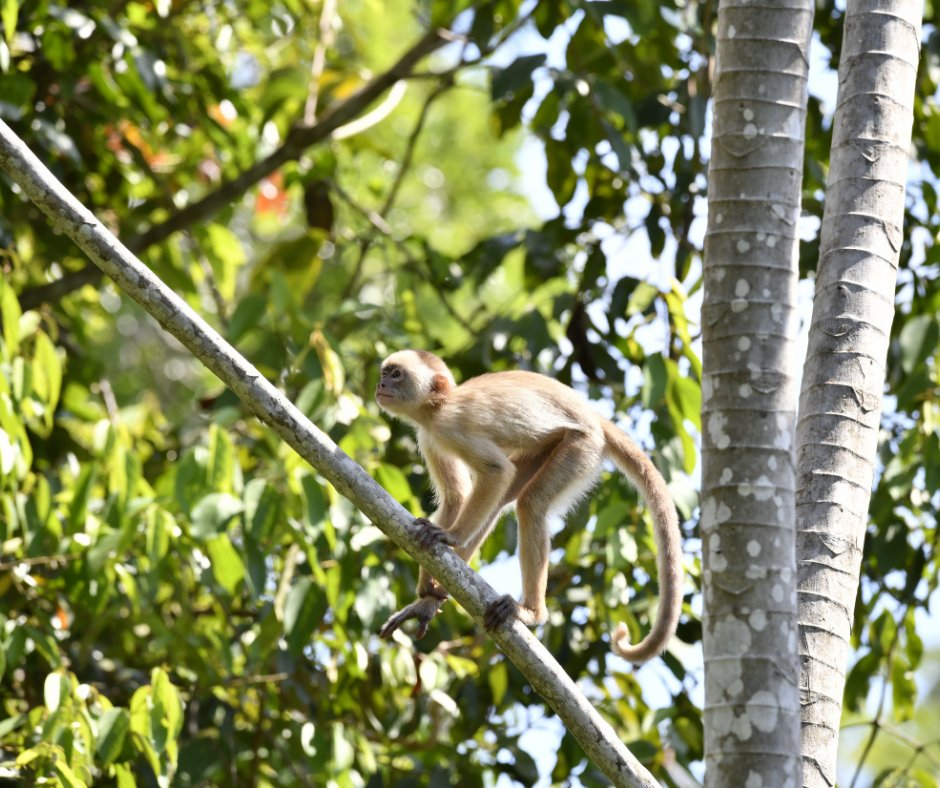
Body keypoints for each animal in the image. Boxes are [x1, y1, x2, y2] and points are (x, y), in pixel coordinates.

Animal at [374, 350, 682, 663]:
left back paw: (531, 612)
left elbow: (497, 472)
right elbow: (456, 498)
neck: (439, 405)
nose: (381, 384)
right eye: (384, 373)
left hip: (583, 445)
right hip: (546, 448)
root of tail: (593, 417)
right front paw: (428, 593)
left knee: (530, 502)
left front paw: (450, 537)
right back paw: (435, 599)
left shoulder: (449, 424)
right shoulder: (429, 434)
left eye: (396, 375)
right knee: (503, 498)